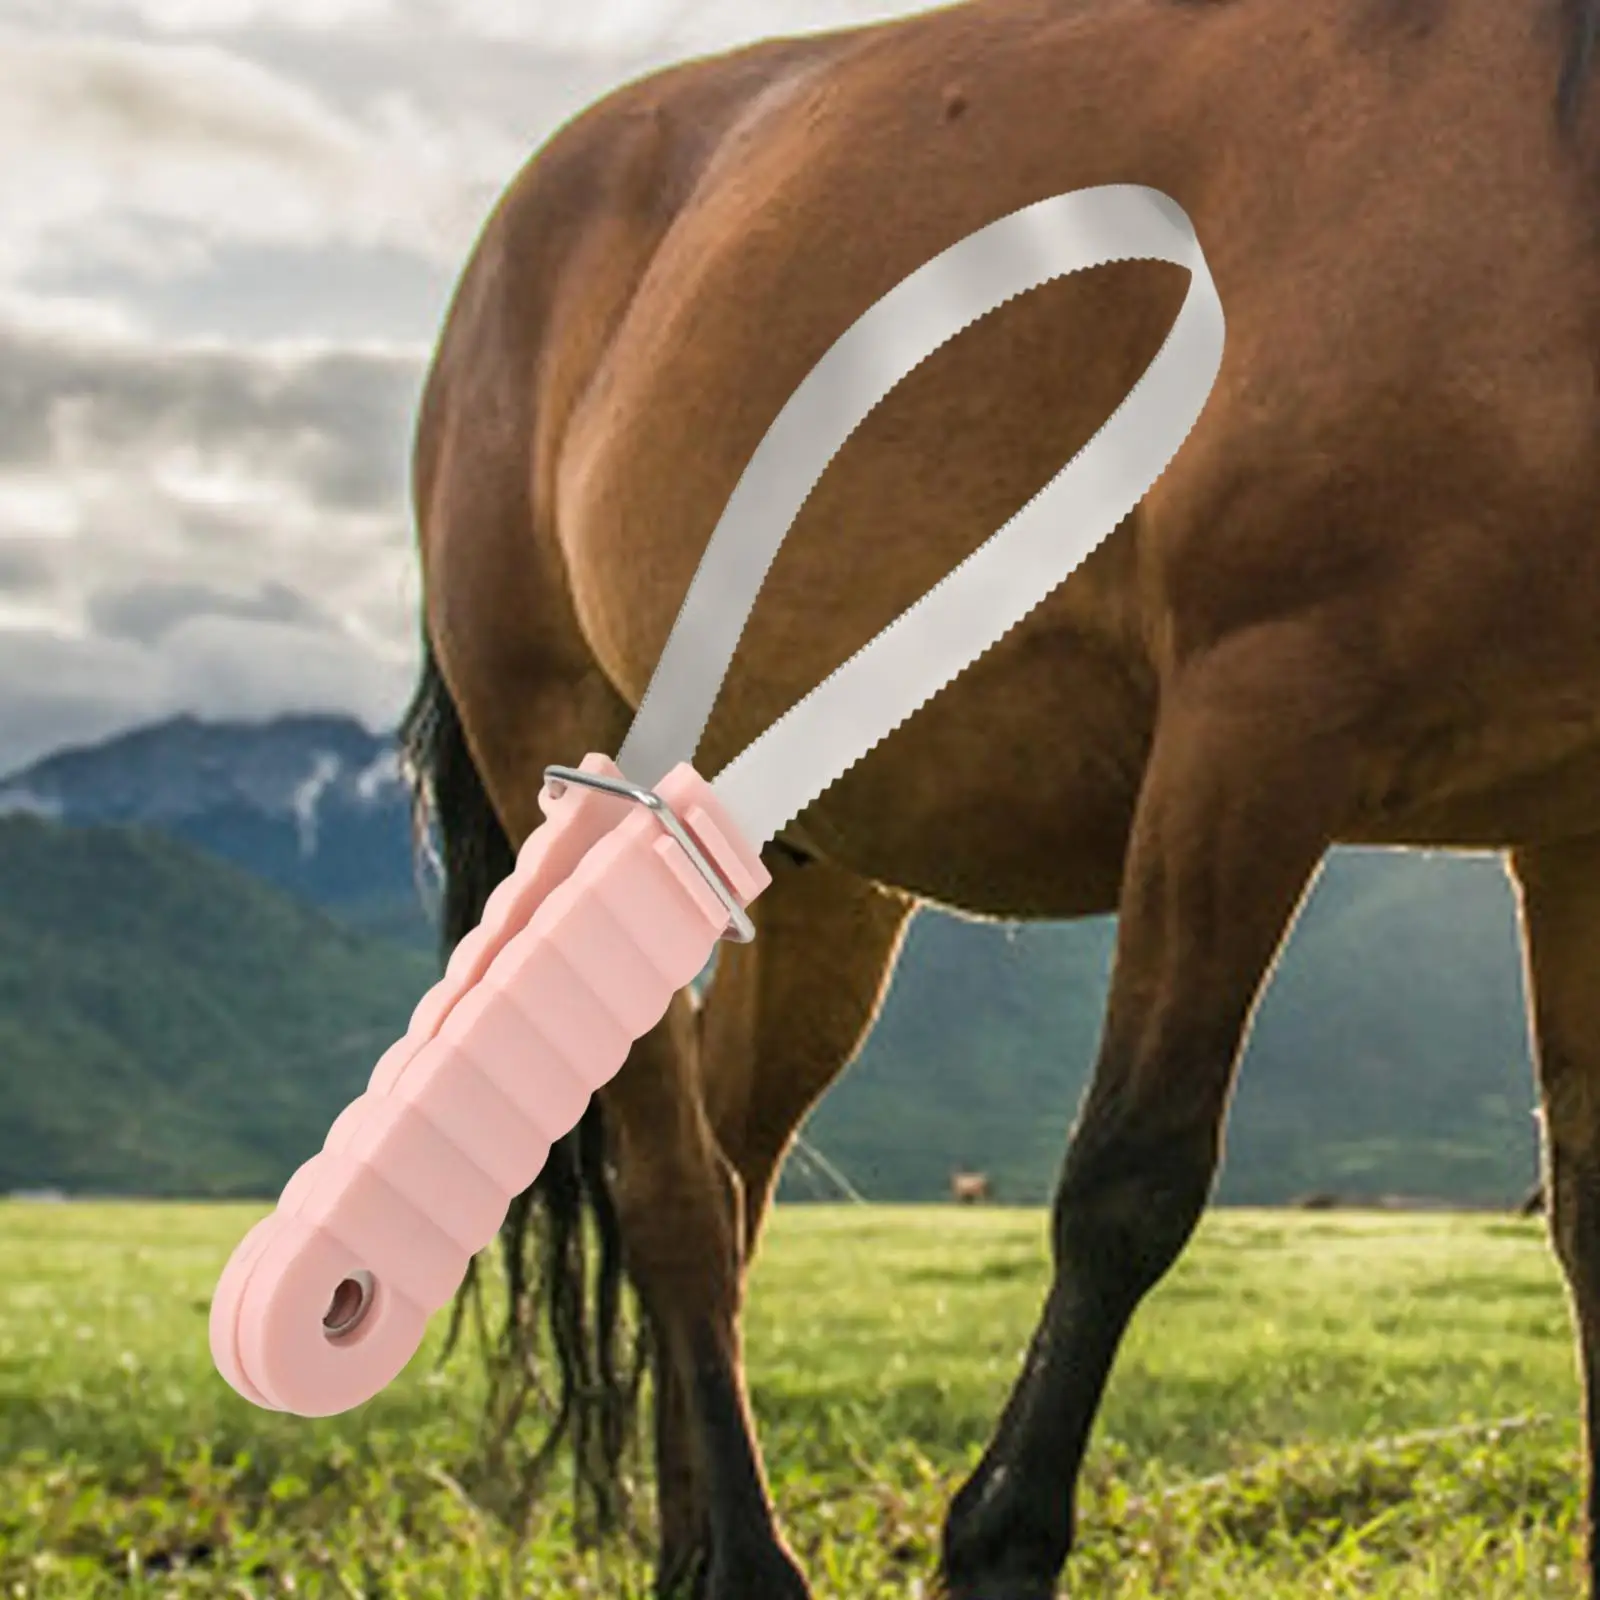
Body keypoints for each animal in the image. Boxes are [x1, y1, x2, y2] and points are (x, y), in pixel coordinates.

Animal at [398, 0, 1600, 1593]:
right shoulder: (1251, 723)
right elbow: (1129, 1182)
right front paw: (998, 1538)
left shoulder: (1574, 825)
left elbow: (1592, 1210)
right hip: (570, 764)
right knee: (672, 1200)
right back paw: (748, 1563)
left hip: (816, 876)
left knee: (726, 1165)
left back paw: (698, 1546)